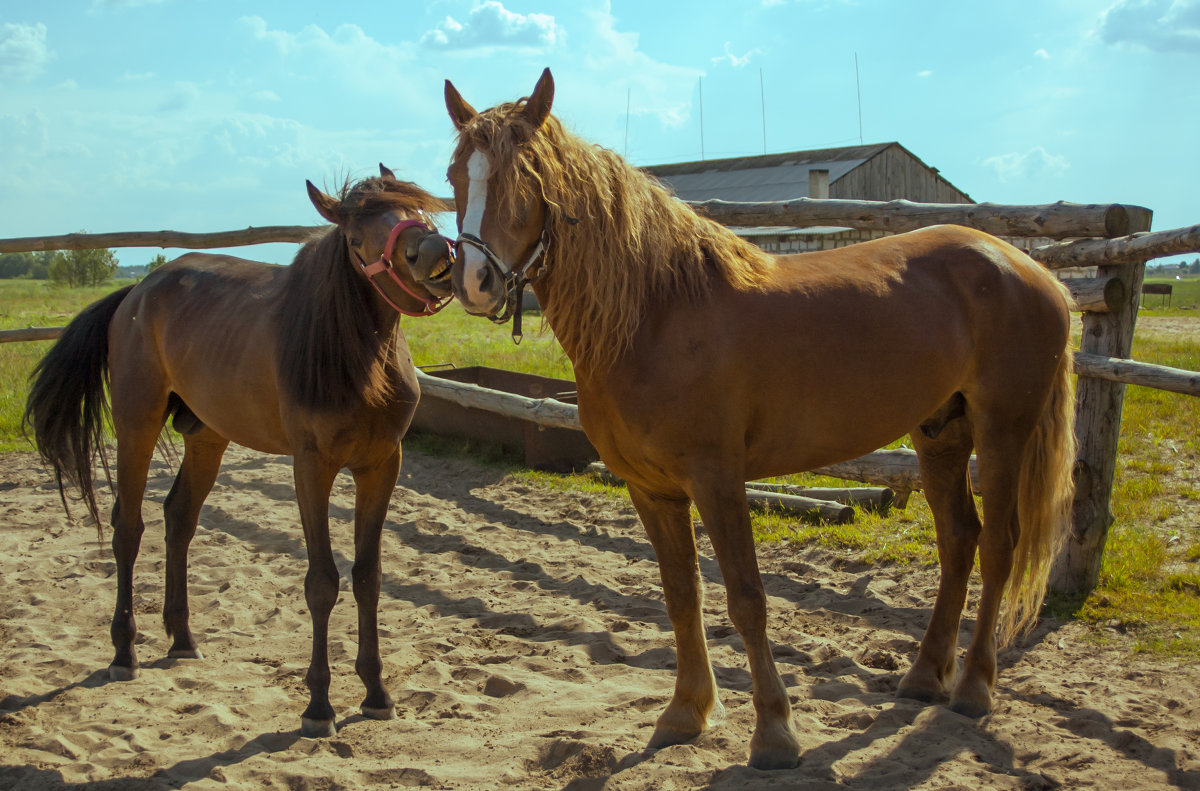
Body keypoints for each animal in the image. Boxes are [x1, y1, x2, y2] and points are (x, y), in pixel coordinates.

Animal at [23, 164, 453, 739]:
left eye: (416, 210)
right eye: (355, 239)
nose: (433, 252)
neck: (356, 360)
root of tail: (136, 292)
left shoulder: (382, 465)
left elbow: (368, 577)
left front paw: (376, 692)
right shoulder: (312, 466)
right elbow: (322, 582)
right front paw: (319, 705)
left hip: (207, 435)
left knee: (179, 518)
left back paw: (182, 640)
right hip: (137, 425)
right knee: (128, 529)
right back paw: (124, 652)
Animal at [436, 71, 1075, 768]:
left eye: (524, 173)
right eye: (454, 176)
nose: (473, 282)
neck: (654, 314)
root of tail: (1028, 267)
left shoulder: (718, 479)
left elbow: (746, 598)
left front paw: (773, 732)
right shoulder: (651, 489)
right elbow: (681, 595)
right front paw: (685, 712)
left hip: (1004, 428)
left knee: (999, 544)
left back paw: (974, 688)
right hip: (940, 433)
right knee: (958, 539)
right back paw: (923, 677)